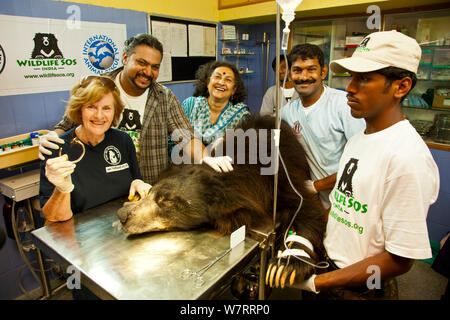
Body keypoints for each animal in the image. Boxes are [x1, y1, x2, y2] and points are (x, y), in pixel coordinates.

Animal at [118, 116, 326, 288]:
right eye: (152, 192)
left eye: (166, 202)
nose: (122, 215)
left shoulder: (282, 176)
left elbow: (307, 207)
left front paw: (287, 265)